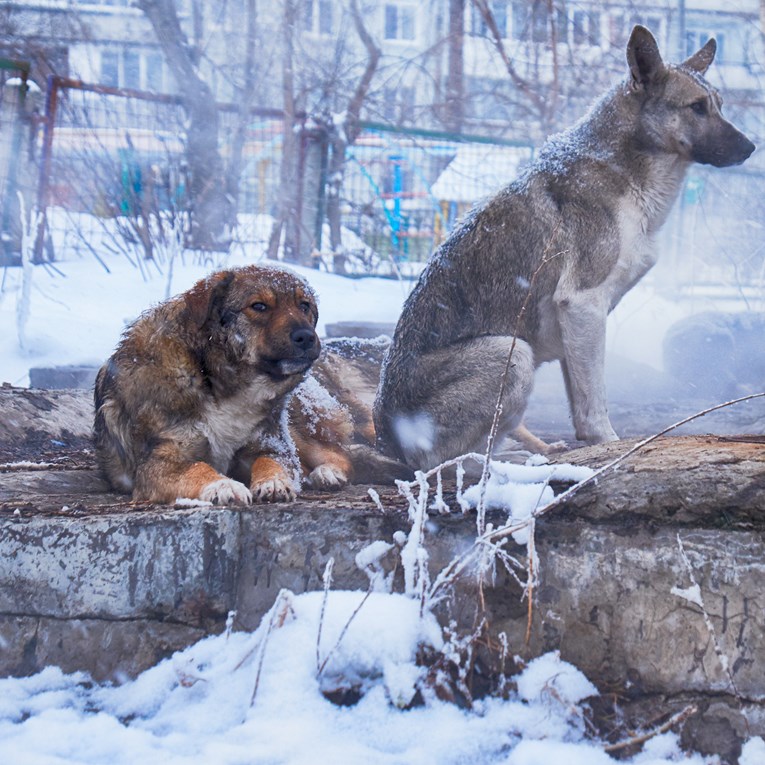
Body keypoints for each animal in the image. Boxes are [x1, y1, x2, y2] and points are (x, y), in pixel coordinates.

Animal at [95, 266, 356, 504]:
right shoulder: (158, 461)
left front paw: (273, 482)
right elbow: (197, 468)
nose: (306, 337)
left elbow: (268, 460)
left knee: (338, 453)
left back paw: (326, 473)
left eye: (304, 305)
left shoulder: (275, 444)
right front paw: (223, 485)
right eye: (259, 306)